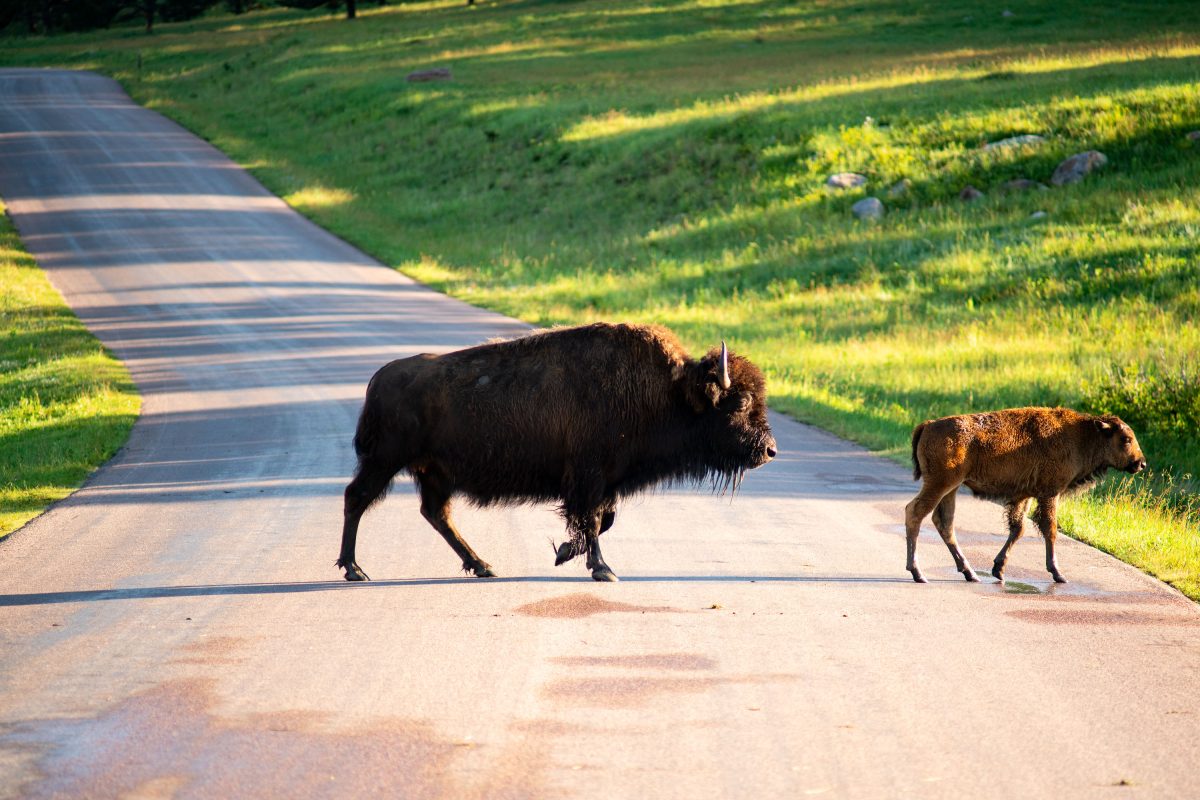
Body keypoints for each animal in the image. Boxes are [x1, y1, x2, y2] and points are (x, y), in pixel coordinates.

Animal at [337, 322, 777, 582]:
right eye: (739, 403)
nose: (770, 450)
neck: (669, 392)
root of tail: (379, 379)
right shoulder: (588, 479)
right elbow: (593, 521)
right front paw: (602, 570)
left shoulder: (604, 483)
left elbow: (601, 521)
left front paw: (565, 553)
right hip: (385, 462)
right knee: (357, 498)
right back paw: (354, 570)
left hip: (433, 472)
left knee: (436, 513)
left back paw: (483, 566)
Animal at [905, 406, 1146, 584]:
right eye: (1125, 438)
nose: (1141, 463)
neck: (1083, 435)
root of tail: (928, 425)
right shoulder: (1050, 493)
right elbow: (1050, 529)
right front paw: (1058, 573)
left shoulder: (1025, 495)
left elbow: (1018, 529)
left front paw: (999, 569)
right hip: (939, 485)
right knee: (915, 513)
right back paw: (918, 573)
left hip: (951, 489)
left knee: (945, 523)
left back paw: (969, 573)